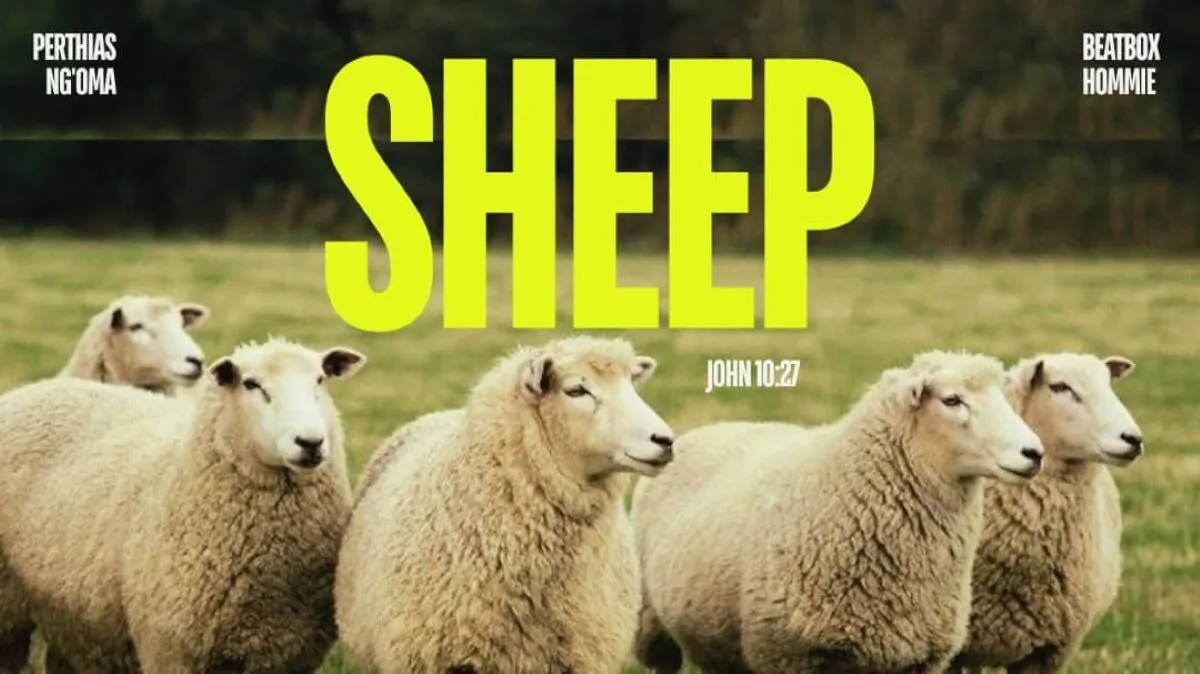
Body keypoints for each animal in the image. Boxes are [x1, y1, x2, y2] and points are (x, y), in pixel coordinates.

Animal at [0, 336, 365, 673]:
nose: (310, 442)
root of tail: (34, 389)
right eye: (251, 384)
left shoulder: (286, 654)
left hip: (74, 617)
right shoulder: (172, 649)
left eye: (320, 380)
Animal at [631, 350, 1047, 674]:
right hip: (654, 629)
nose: (1034, 453)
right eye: (952, 401)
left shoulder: (917, 658)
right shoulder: (789, 652)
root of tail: (710, 428)